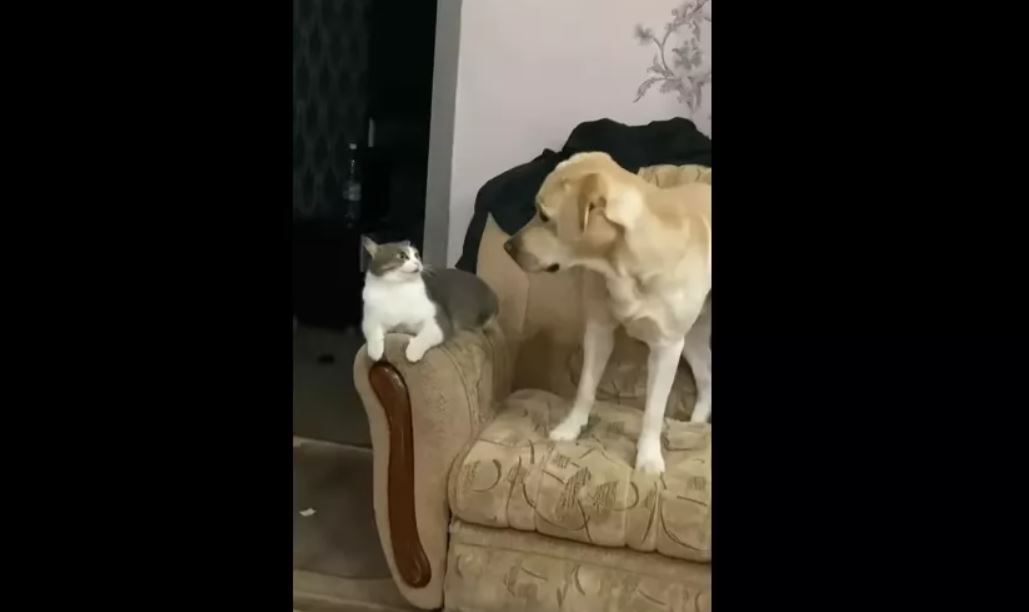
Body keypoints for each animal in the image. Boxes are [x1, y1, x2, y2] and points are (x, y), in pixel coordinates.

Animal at [361, 237, 499, 363]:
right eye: (402, 256)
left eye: (416, 255)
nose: (417, 263)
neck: (396, 288)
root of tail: (493, 296)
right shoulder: (370, 317)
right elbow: (372, 331)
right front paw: (375, 351)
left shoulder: (438, 319)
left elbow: (425, 336)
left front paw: (413, 351)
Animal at [504, 152, 711, 474]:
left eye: (544, 216)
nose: (507, 247)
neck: (621, 263)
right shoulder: (598, 330)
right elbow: (585, 387)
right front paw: (571, 428)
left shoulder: (666, 348)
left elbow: (653, 409)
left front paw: (648, 457)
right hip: (694, 337)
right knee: (706, 378)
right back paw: (696, 425)